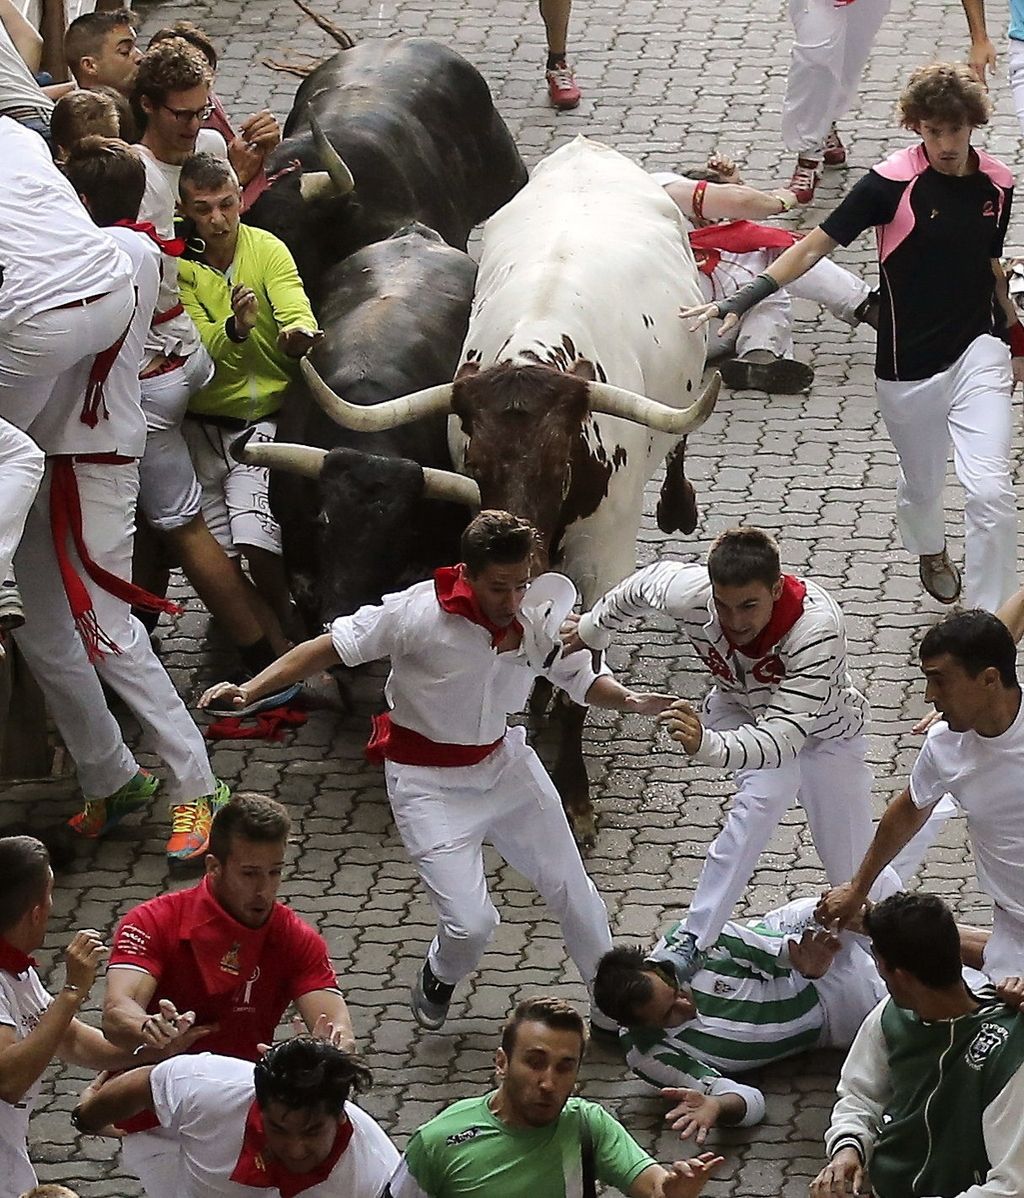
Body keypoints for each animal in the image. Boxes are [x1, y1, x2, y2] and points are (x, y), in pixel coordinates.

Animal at [300, 135, 718, 838]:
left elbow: (583, 673)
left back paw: (678, 504)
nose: (527, 552)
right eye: (477, 466)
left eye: (560, 465)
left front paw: (575, 796)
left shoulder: (603, 559)